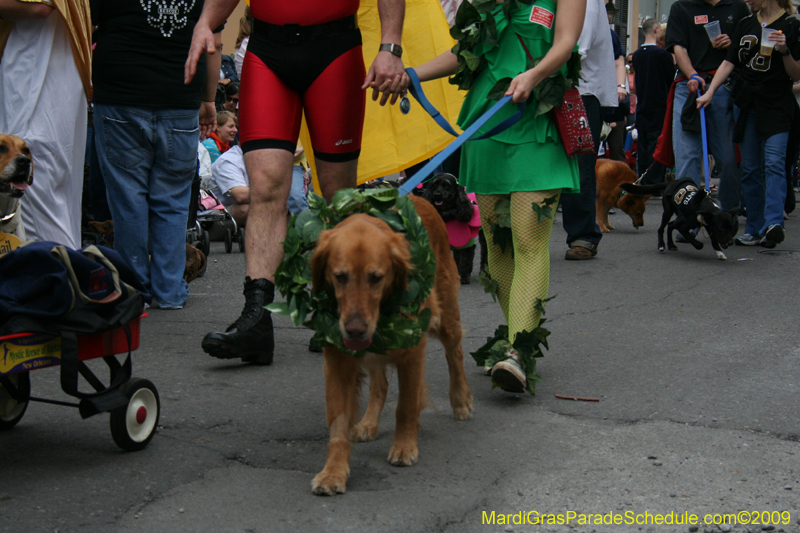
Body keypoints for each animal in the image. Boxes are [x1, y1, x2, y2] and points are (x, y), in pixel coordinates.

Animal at [310, 194, 476, 494]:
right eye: (340, 276)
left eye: (376, 278)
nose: (354, 329)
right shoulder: (337, 358)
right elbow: (338, 422)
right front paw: (333, 472)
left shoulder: (412, 350)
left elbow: (406, 405)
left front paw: (404, 447)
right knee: (381, 383)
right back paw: (368, 422)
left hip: (445, 315)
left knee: (455, 353)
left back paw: (461, 400)